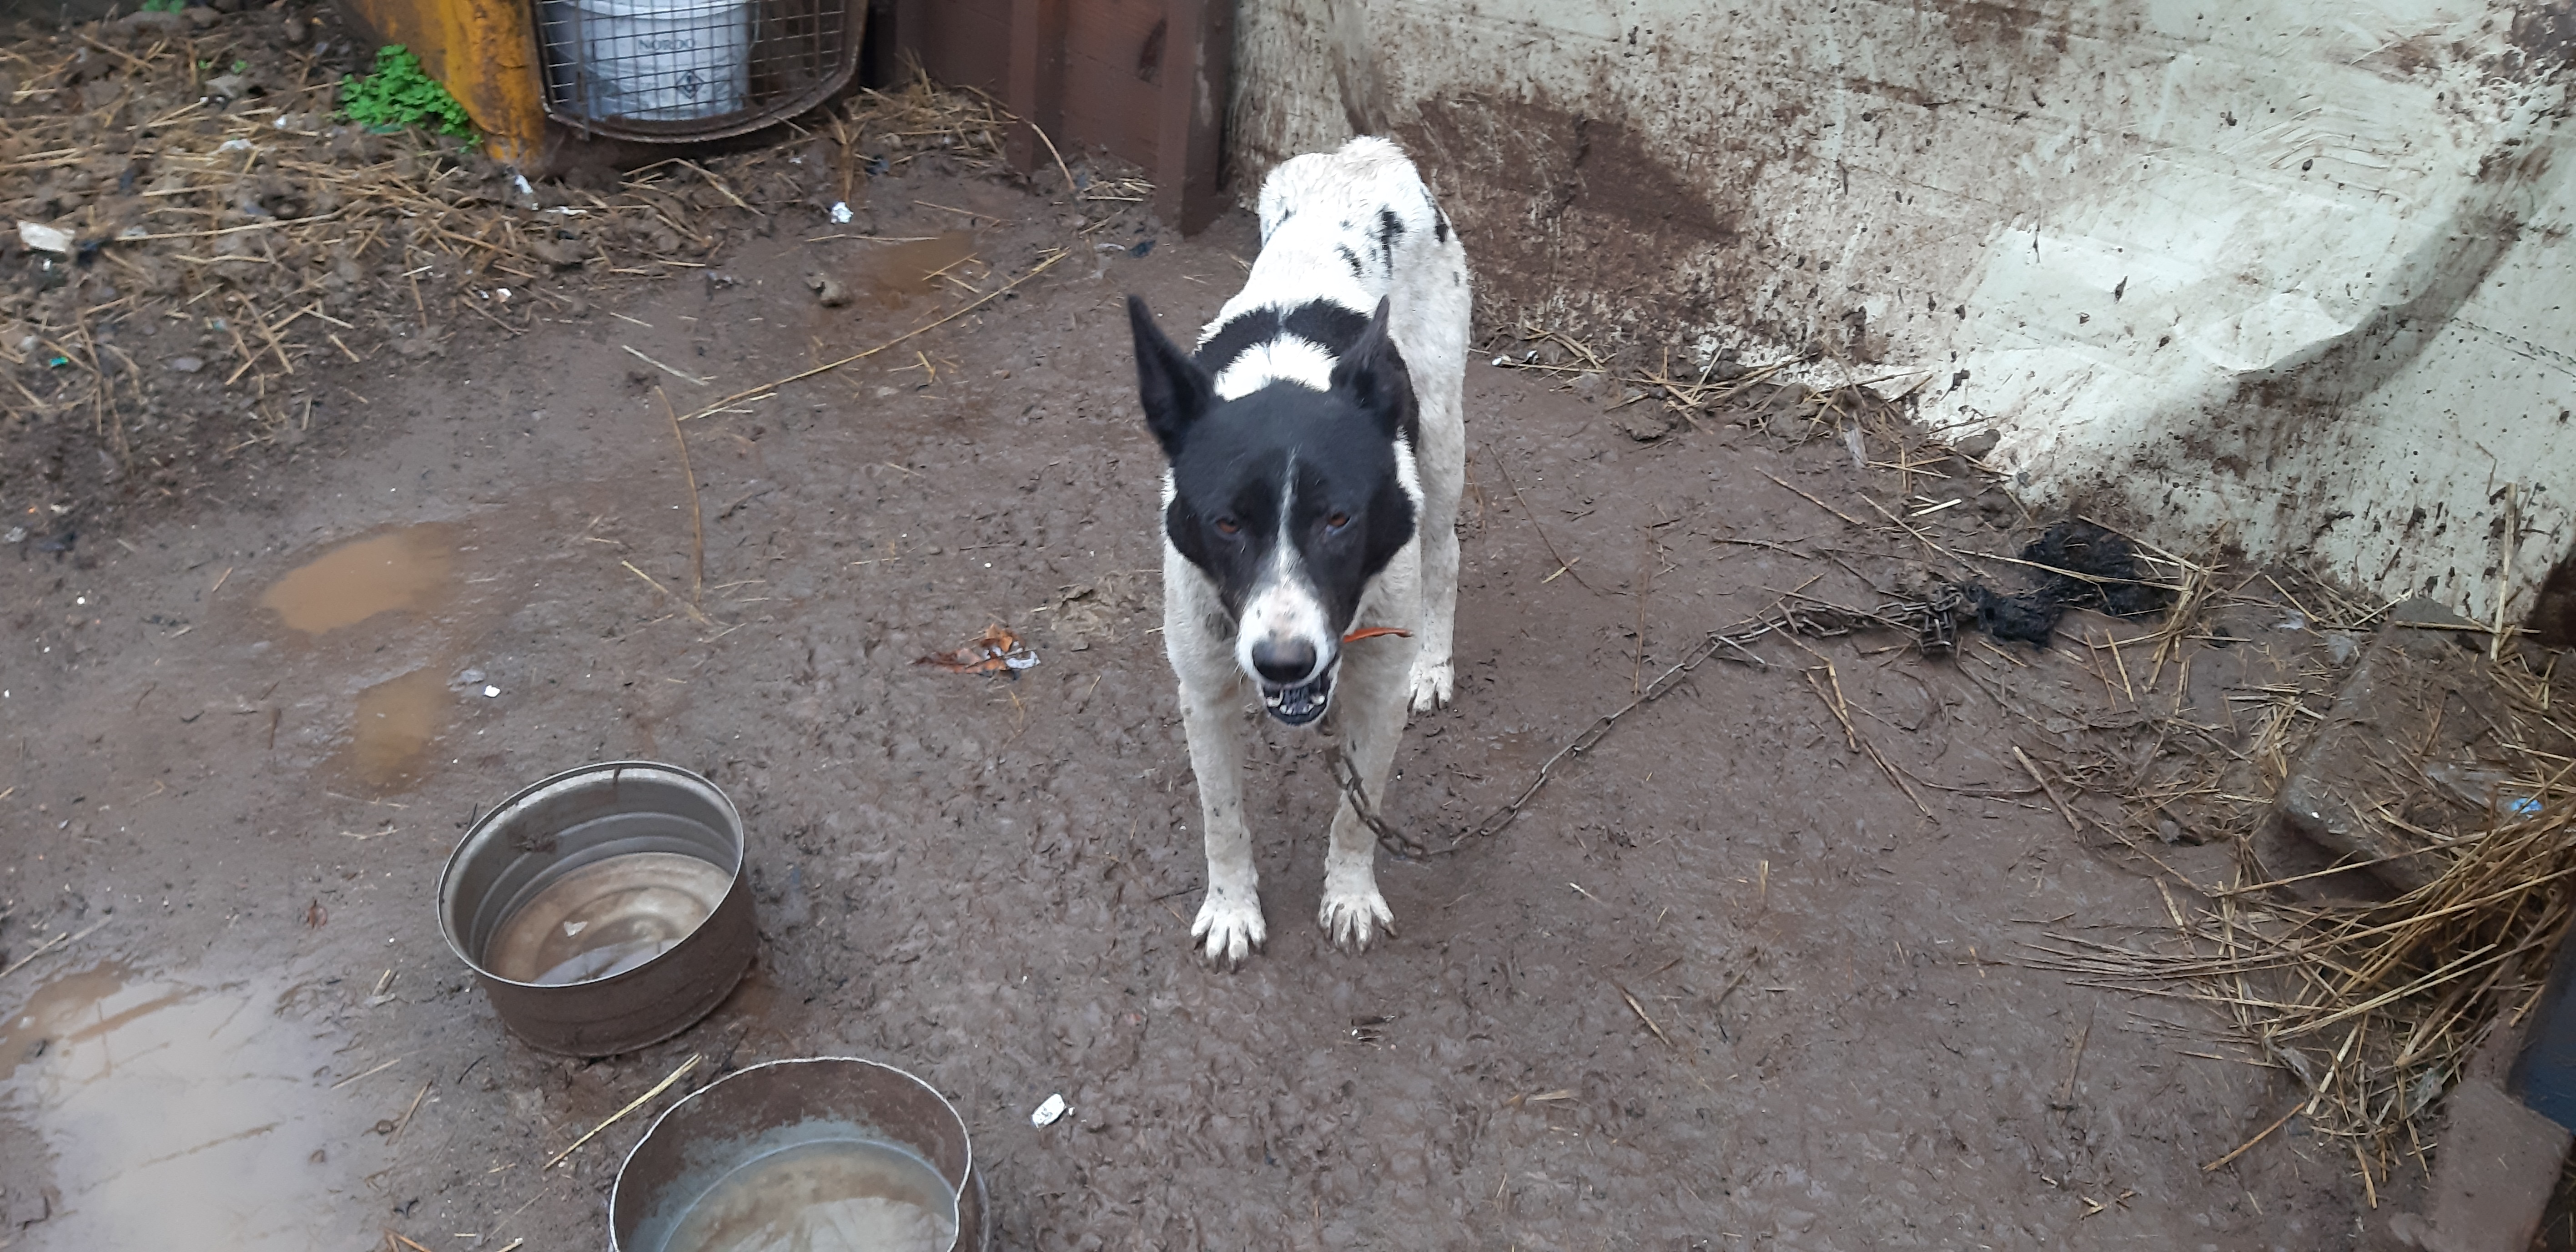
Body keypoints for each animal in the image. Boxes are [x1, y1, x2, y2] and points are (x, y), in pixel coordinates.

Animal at [1126, 136, 1469, 966]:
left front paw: (1349, 895)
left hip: (1444, 441)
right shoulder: (1203, 690)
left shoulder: (1377, 689)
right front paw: (1231, 907)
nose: (1284, 664)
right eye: (1225, 523)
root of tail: (1364, 151)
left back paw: (1436, 661)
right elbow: (1222, 818)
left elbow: (1357, 814)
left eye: (1340, 519)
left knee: (1446, 552)